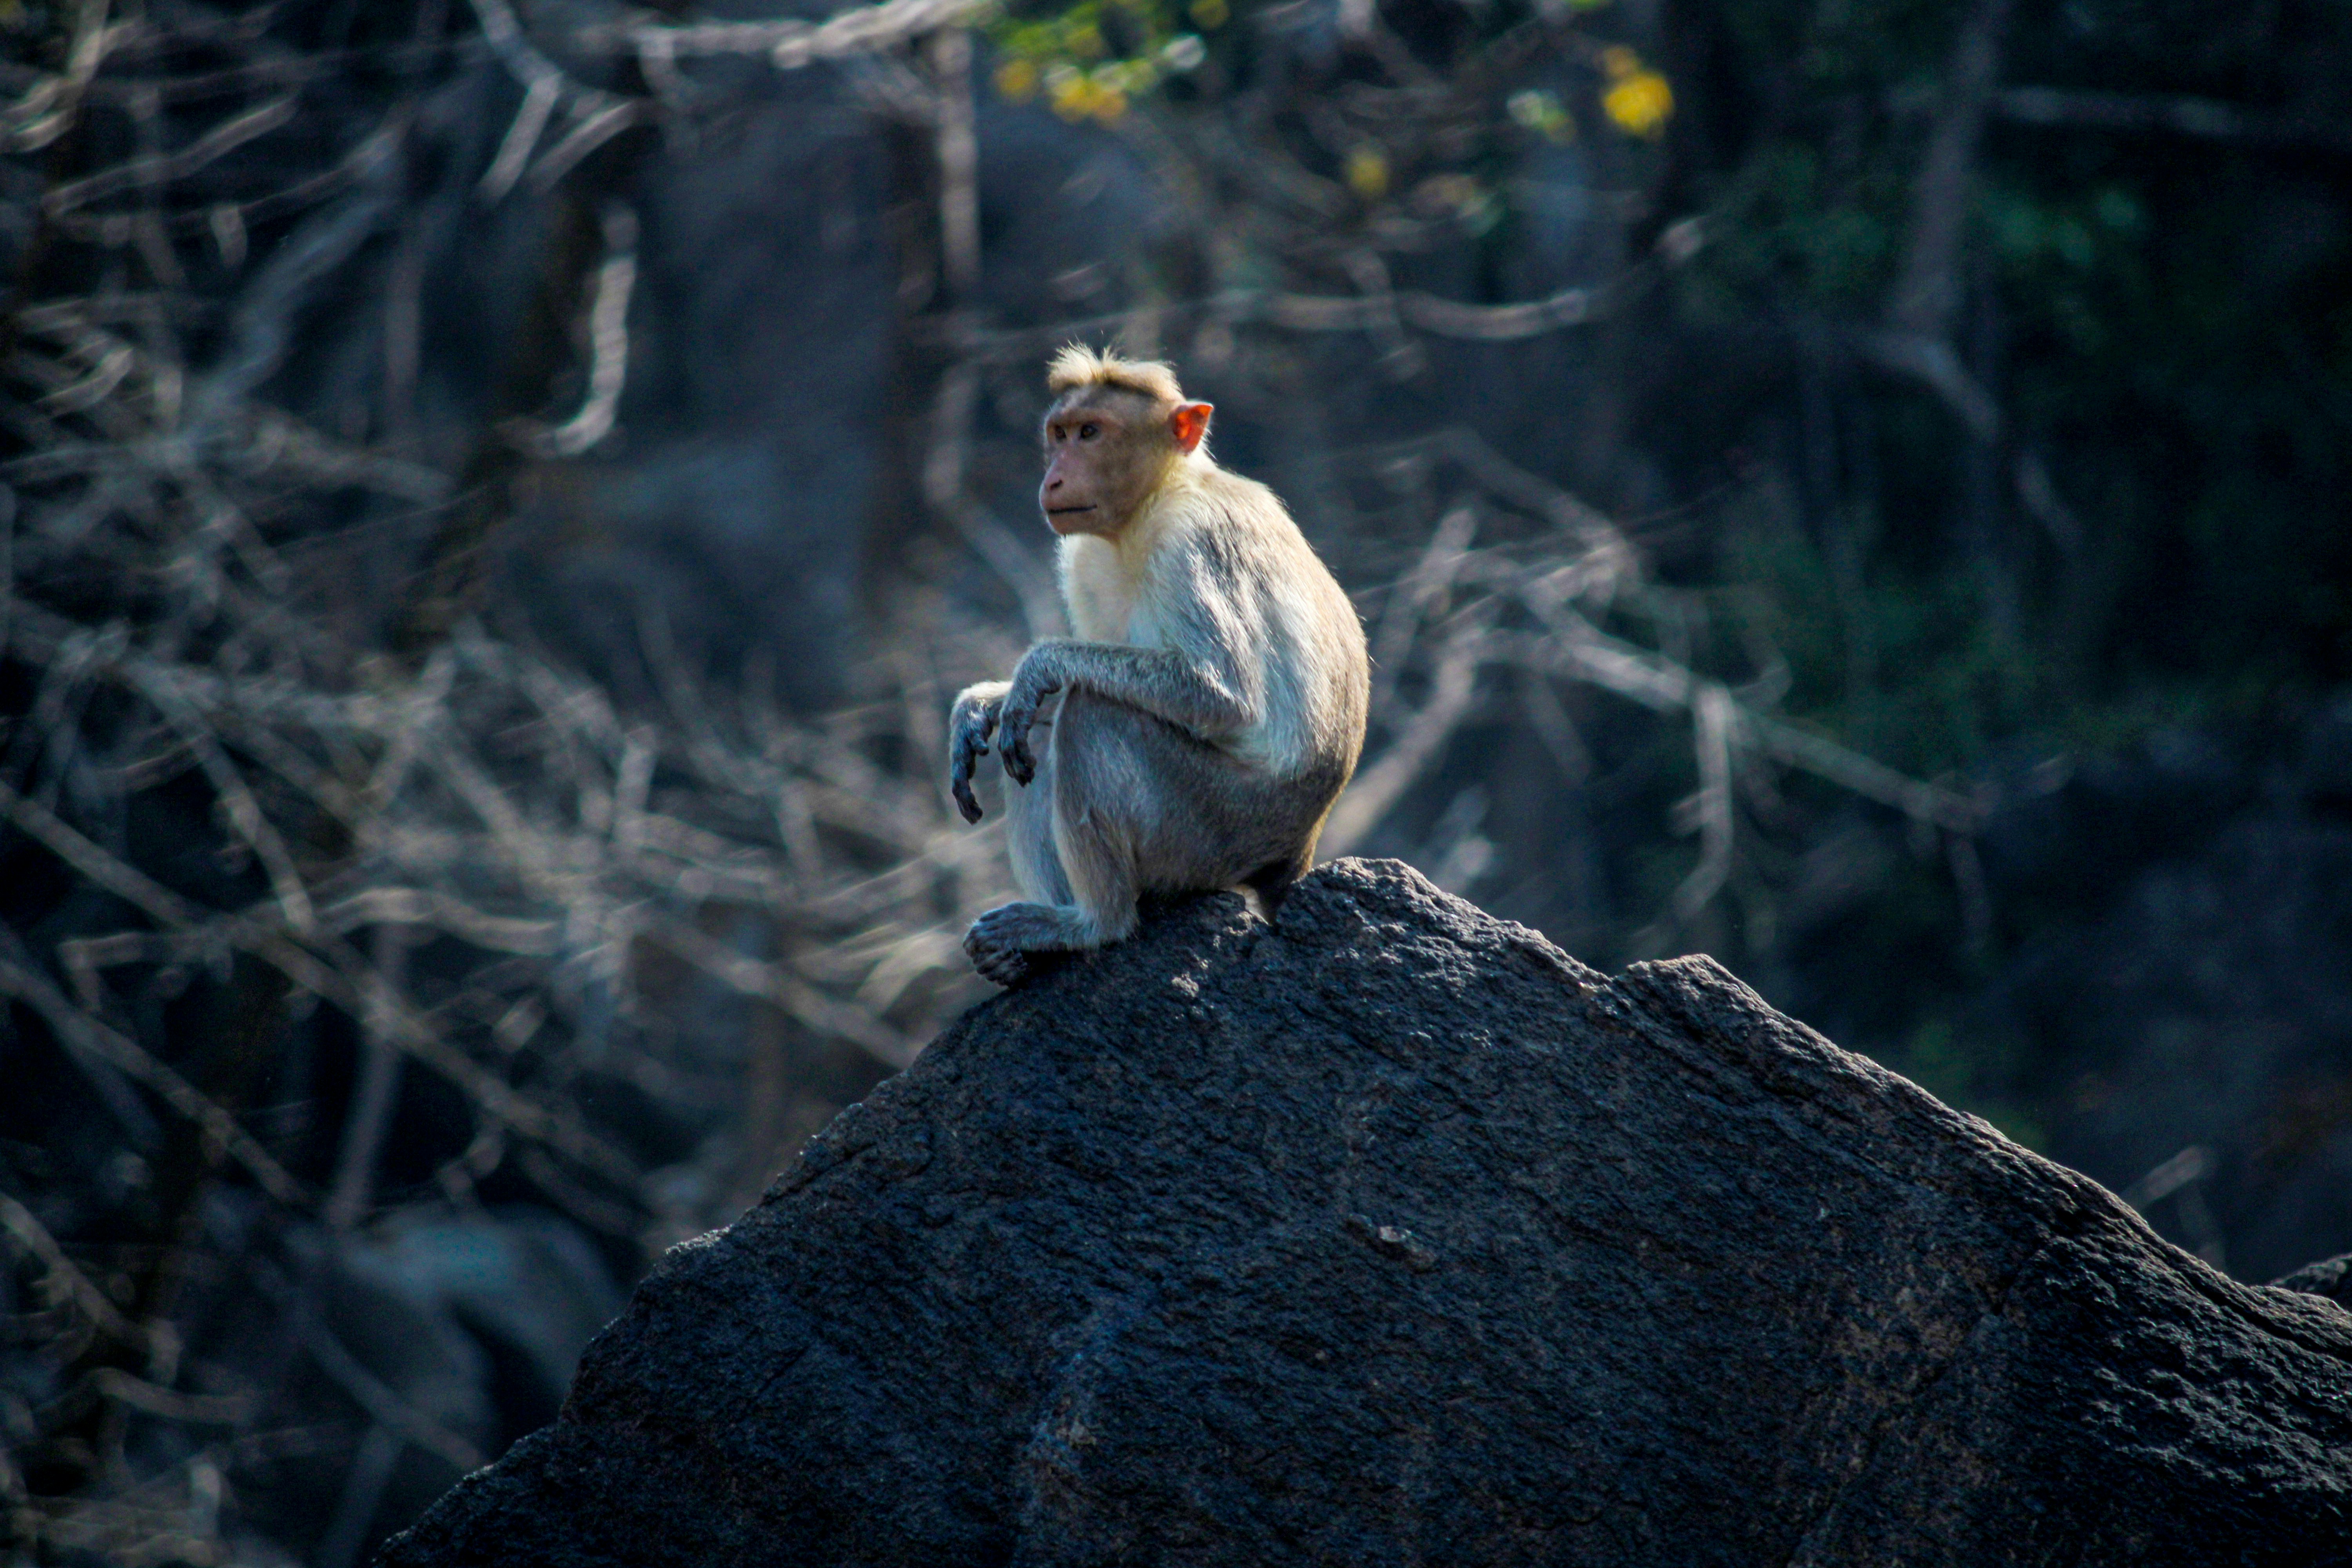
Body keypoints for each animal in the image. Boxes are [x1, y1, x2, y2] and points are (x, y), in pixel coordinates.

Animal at [947, 345, 1370, 986]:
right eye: (1060, 434)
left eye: (1091, 434)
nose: (1054, 477)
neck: (1152, 502)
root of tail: (1298, 850)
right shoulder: (1084, 557)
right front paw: (981, 706)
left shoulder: (1194, 540)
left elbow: (1222, 693)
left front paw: (1036, 668)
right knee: (1041, 731)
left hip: (1218, 829)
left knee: (1092, 713)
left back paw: (1094, 923)